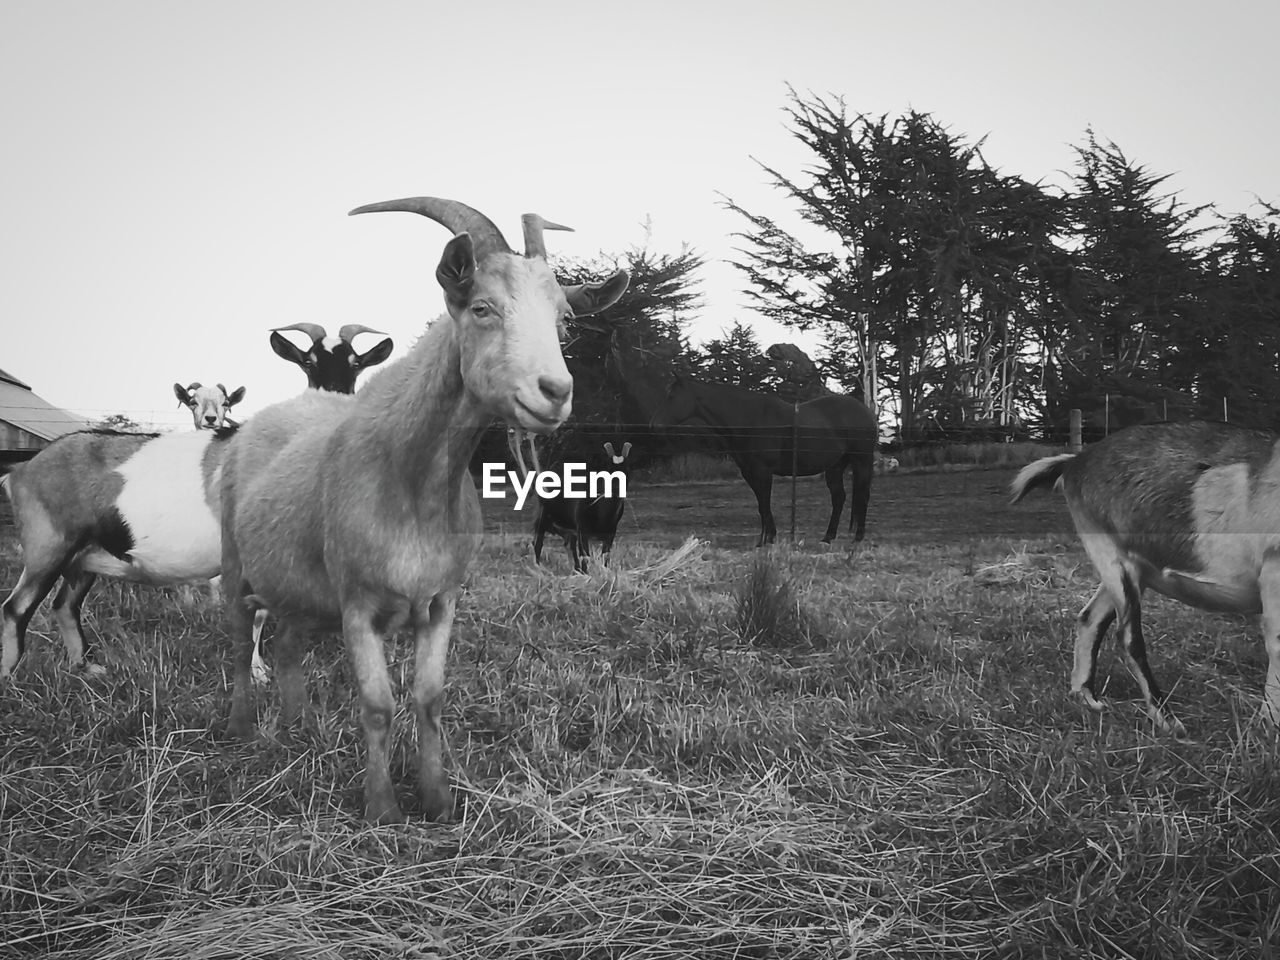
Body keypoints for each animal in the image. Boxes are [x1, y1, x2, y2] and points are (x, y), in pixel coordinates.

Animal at [529, 442, 629, 570]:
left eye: (627, 469)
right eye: (608, 469)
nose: (616, 489)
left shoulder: (611, 530)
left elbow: (606, 555)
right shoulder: (582, 528)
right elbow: (585, 556)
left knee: (569, 544)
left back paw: (576, 569)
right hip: (542, 514)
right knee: (538, 542)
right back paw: (538, 567)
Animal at [655, 376, 875, 547]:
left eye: (672, 396)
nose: (655, 424)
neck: (750, 420)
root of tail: (865, 411)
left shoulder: (763, 471)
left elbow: (764, 503)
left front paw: (766, 540)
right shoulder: (750, 472)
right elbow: (762, 505)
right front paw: (766, 538)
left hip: (862, 462)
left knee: (863, 496)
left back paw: (858, 537)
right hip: (835, 467)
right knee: (839, 498)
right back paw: (828, 538)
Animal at [1008, 422, 1280, 737]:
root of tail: (1075, 461)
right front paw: (1270, 724)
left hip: (1128, 568)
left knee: (1090, 618)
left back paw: (1086, 697)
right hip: (1109, 552)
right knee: (1128, 637)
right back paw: (1167, 720)